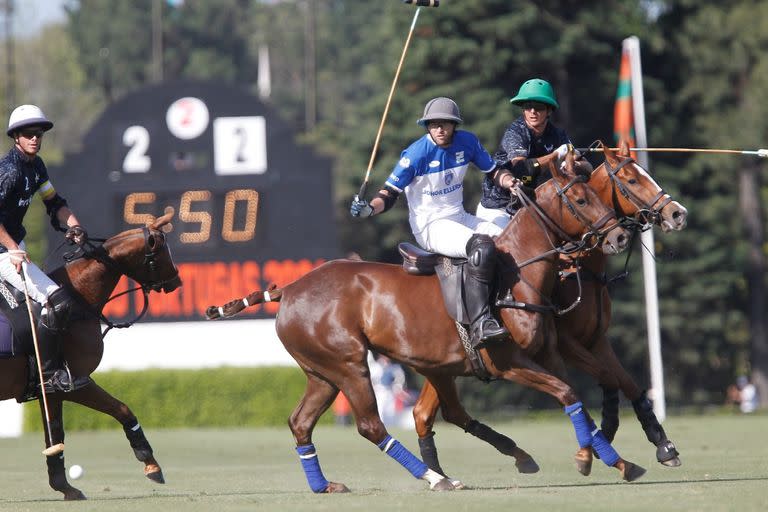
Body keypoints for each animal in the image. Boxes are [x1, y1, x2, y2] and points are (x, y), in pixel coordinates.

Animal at [0, 206, 182, 498]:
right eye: (163, 251)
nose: (177, 282)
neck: (80, 297)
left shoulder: (49, 391)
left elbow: (55, 435)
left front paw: (65, 487)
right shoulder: (75, 382)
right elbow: (123, 410)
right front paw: (151, 465)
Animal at [206, 157, 640, 492]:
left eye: (599, 193)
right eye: (581, 198)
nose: (618, 236)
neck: (519, 274)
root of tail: (290, 287)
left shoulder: (546, 354)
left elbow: (575, 396)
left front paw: (618, 461)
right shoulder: (506, 363)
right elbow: (567, 393)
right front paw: (590, 458)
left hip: (322, 372)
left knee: (301, 423)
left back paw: (324, 485)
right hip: (348, 365)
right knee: (370, 425)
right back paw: (436, 478)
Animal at [412, 139, 688, 480]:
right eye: (632, 180)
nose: (678, 214)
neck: (579, 266)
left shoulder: (596, 339)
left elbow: (627, 382)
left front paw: (662, 445)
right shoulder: (566, 342)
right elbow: (608, 377)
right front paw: (604, 437)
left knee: (427, 411)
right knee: (426, 411)